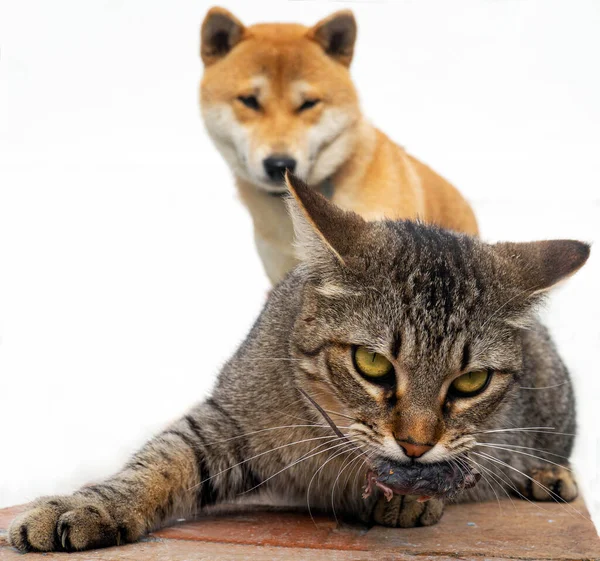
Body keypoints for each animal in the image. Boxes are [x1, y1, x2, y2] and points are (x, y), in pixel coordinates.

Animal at [9, 175, 588, 552]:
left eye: (471, 381)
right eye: (372, 364)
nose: (415, 445)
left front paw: (413, 496)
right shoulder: (228, 417)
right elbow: (160, 461)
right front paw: (91, 506)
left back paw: (547, 475)